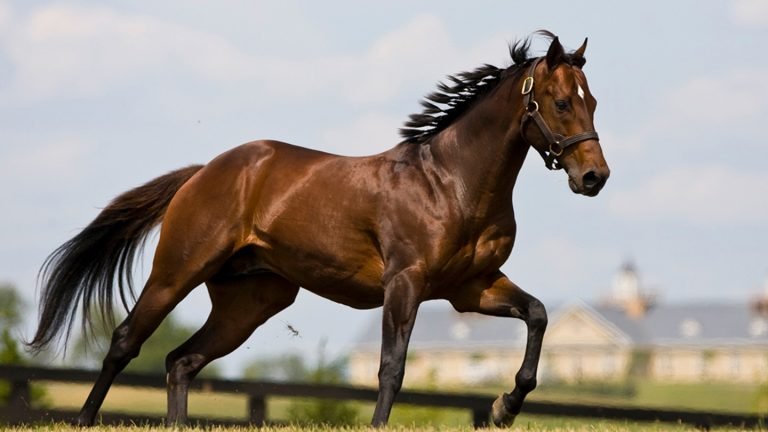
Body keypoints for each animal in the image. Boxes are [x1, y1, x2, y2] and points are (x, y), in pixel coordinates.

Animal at [27, 32, 608, 426]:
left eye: (593, 101)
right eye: (561, 102)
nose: (594, 177)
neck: (450, 183)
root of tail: (204, 172)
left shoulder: (471, 288)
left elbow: (537, 315)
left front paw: (503, 406)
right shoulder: (406, 283)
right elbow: (391, 367)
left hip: (252, 301)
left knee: (181, 360)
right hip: (177, 272)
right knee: (126, 342)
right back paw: (84, 420)